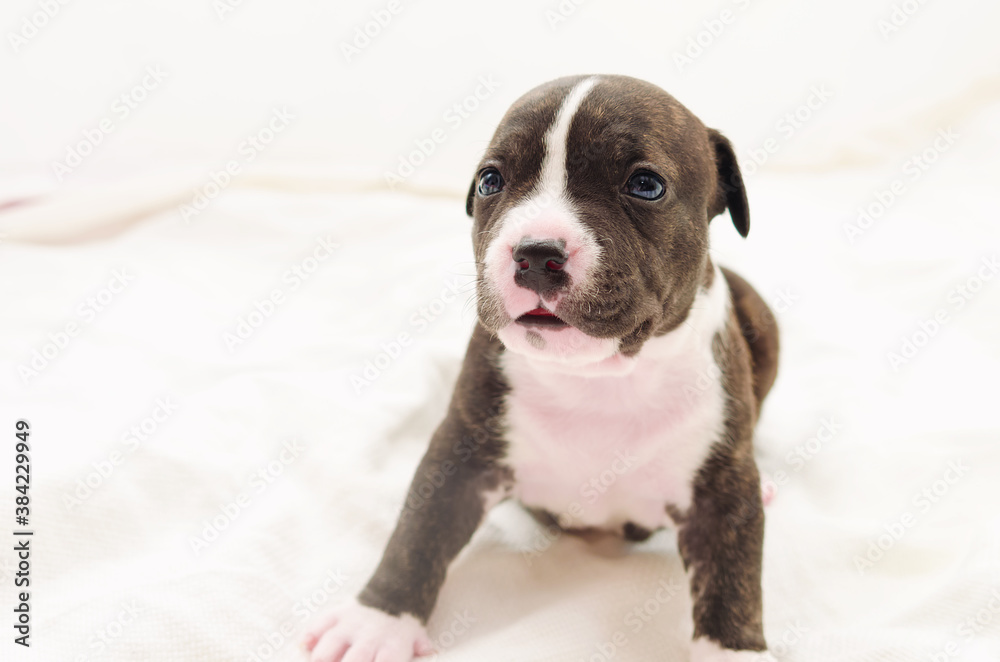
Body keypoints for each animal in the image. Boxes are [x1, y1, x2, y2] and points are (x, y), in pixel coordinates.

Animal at [304, 74, 780, 662]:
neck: (598, 378)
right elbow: (418, 532)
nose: (534, 253)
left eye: (645, 185)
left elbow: (733, 582)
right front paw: (377, 620)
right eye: (491, 181)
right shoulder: (462, 452)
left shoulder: (721, 495)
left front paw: (733, 648)